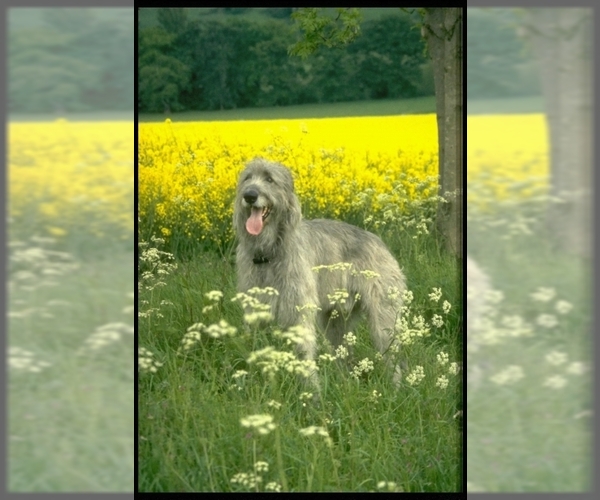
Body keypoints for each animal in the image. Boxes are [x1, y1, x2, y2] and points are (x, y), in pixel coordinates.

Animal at [232, 158, 406, 384]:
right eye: (247, 178)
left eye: (269, 179)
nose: (250, 195)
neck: (268, 252)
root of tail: (380, 243)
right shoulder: (254, 308)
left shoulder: (298, 308)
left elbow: (304, 351)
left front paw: (311, 389)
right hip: (335, 321)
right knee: (344, 354)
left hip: (383, 316)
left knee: (391, 353)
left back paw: (396, 386)